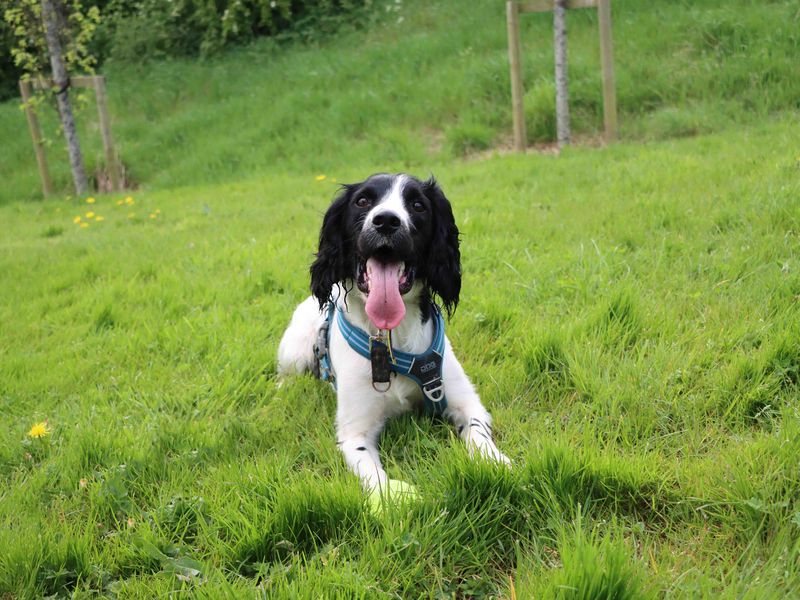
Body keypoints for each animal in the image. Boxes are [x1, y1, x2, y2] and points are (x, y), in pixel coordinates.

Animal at [278, 171, 510, 490]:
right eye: (363, 201)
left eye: (417, 205)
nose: (386, 220)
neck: (389, 341)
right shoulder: (354, 430)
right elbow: (371, 471)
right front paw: (396, 495)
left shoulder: (465, 400)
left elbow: (478, 434)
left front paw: (495, 462)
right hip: (295, 351)